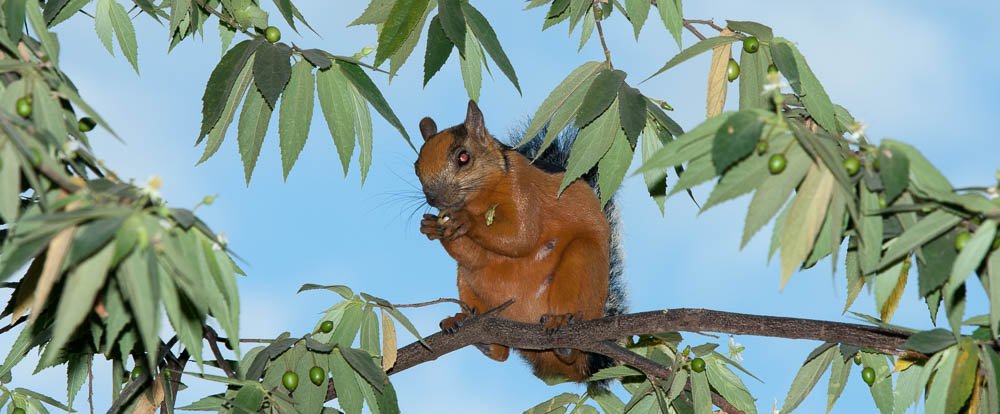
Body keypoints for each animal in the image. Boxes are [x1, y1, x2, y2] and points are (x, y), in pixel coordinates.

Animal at [414, 100, 624, 388]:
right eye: (416, 165)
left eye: (463, 157)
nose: (435, 198)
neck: (479, 199)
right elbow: (476, 257)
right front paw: (432, 227)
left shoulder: (522, 189)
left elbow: (520, 236)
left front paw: (465, 220)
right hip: (469, 284)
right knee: (501, 352)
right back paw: (470, 326)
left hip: (583, 264)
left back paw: (562, 326)